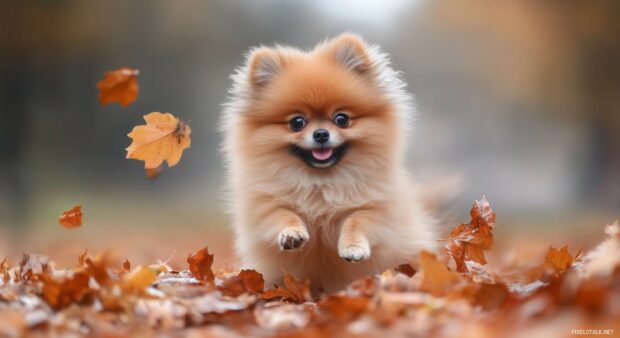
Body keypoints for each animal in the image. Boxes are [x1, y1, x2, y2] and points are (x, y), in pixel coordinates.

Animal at [222, 33, 436, 292]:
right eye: (297, 122)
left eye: (341, 119)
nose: (321, 134)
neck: (320, 183)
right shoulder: (264, 206)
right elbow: (283, 215)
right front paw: (291, 234)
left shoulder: (375, 209)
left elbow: (356, 221)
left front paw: (353, 247)